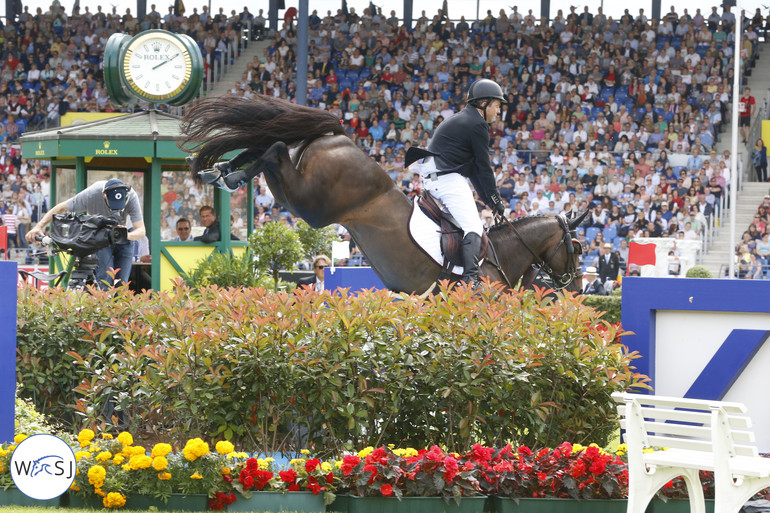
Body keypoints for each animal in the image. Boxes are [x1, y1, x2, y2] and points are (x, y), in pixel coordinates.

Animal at [182, 95, 588, 294]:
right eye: (577, 248)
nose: (577, 289)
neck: (502, 255)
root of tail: (339, 134)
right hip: (314, 206)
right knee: (275, 148)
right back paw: (230, 176)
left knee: (270, 145)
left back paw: (221, 170)